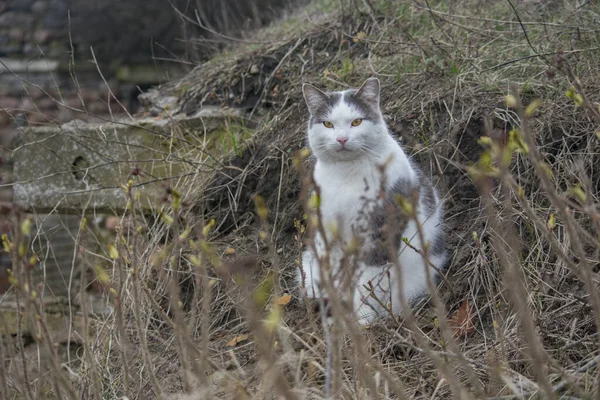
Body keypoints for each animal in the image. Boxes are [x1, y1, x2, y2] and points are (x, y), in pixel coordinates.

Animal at [298, 76, 446, 324]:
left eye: (356, 122)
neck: (346, 174)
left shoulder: (379, 231)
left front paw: (362, 321)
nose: (342, 139)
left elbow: (367, 281)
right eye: (328, 124)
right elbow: (337, 275)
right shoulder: (327, 231)